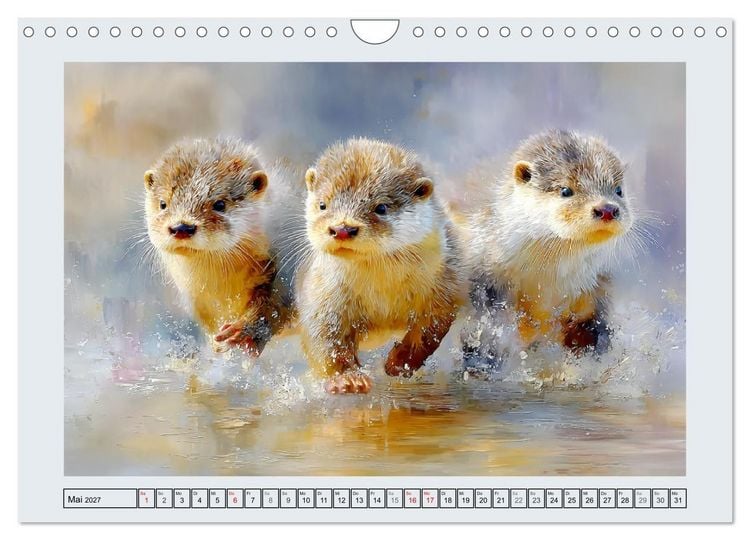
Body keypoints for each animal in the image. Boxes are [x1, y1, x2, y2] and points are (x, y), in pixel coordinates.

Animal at [144, 137, 294, 355]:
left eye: (220, 204)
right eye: (163, 203)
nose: (182, 227)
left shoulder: (284, 268)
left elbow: (273, 306)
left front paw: (244, 333)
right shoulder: (197, 300)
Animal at [297, 138, 465, 394]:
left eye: (381, 207)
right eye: (323, 205)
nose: (342, 229)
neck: (382, 294)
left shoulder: (445, 285)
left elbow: (431, 331)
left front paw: (400, 362)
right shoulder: (322, 296)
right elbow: (324, 339)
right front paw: (347, 379)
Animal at [459, 130, 638, 370]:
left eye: (618, 190)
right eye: (566, 190)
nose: (607, 209)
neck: (545, 283)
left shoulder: (596, 289)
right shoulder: (486, 276)